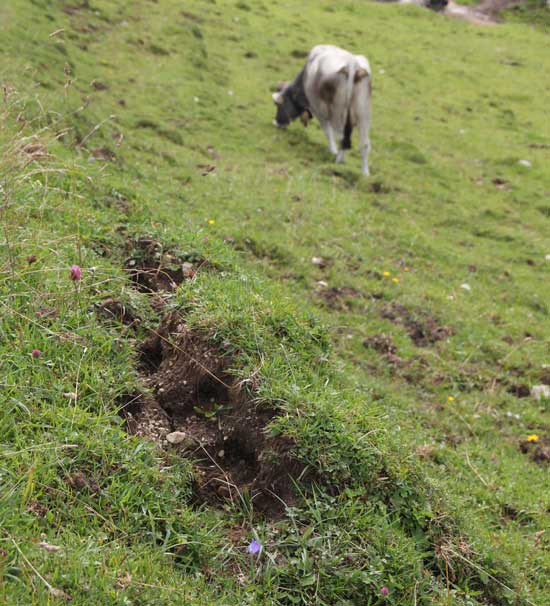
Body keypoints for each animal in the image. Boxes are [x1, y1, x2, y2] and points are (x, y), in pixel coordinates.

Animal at [272, 45, 374, 176]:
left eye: (278, 105)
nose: (276, 123)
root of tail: (352, 64)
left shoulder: (319, 111)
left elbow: (327, 131)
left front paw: (332, 151)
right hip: (363, 114)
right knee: (364, 144)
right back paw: (365, 173)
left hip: (338, 112)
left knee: (342, 137)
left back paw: (338, 161)